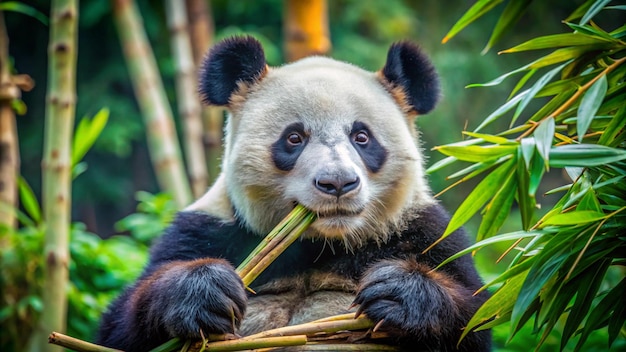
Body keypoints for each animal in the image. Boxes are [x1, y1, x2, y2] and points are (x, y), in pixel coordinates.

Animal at [95, 37, 490, 350]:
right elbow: (119, 327)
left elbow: (475, 317)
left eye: (362, 137)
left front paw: (396, 293)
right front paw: (206, 293)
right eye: (294, 138)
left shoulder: (424, 232)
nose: (337, 183)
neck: (321, 244)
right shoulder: (207, 231)